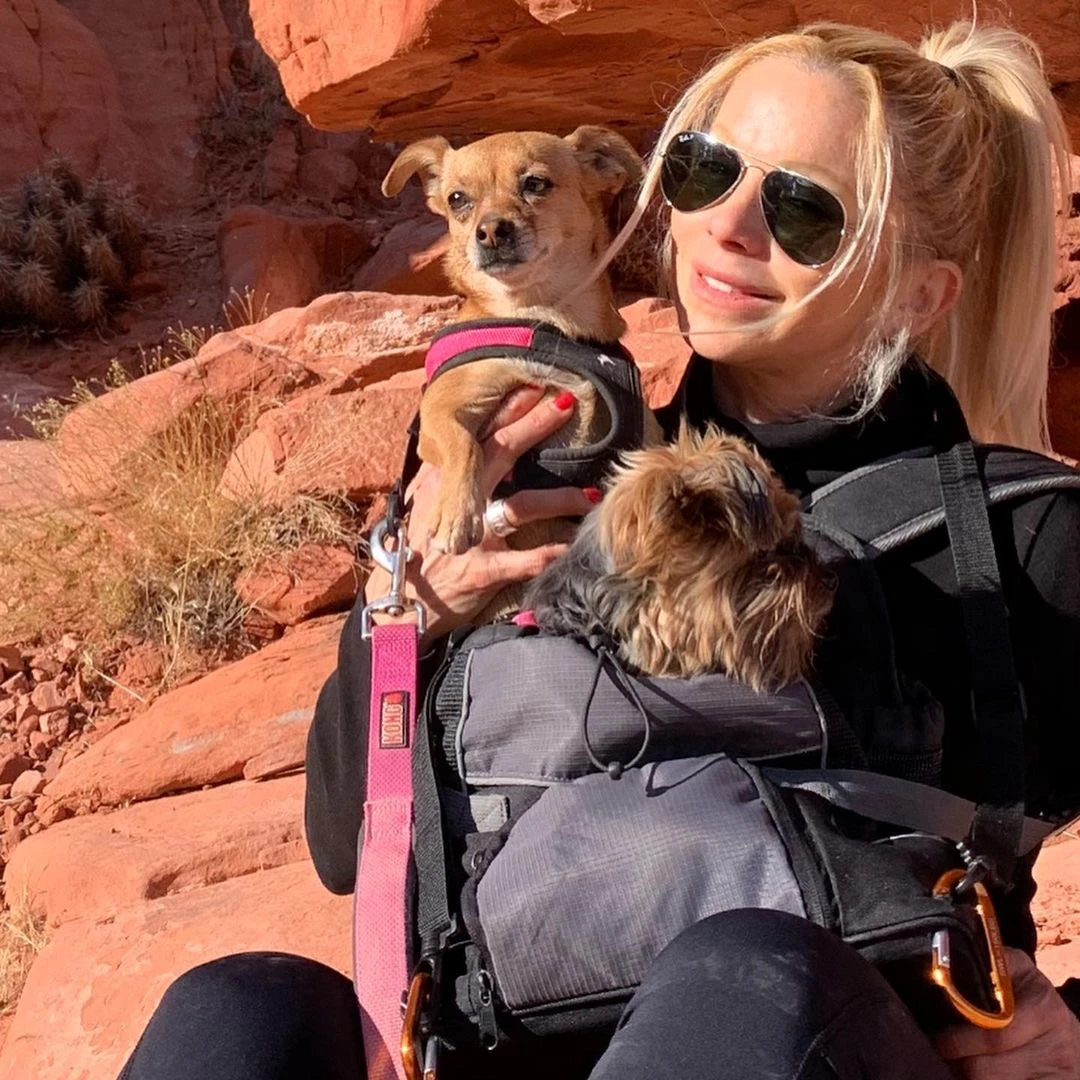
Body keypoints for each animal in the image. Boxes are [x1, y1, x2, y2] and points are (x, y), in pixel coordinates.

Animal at [381, 126, 656, 562]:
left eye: (535, 184)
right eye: (457, 199)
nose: (491, 230)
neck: (547, 318)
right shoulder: (439, 409)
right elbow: (464, 444)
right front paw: (456, 515)